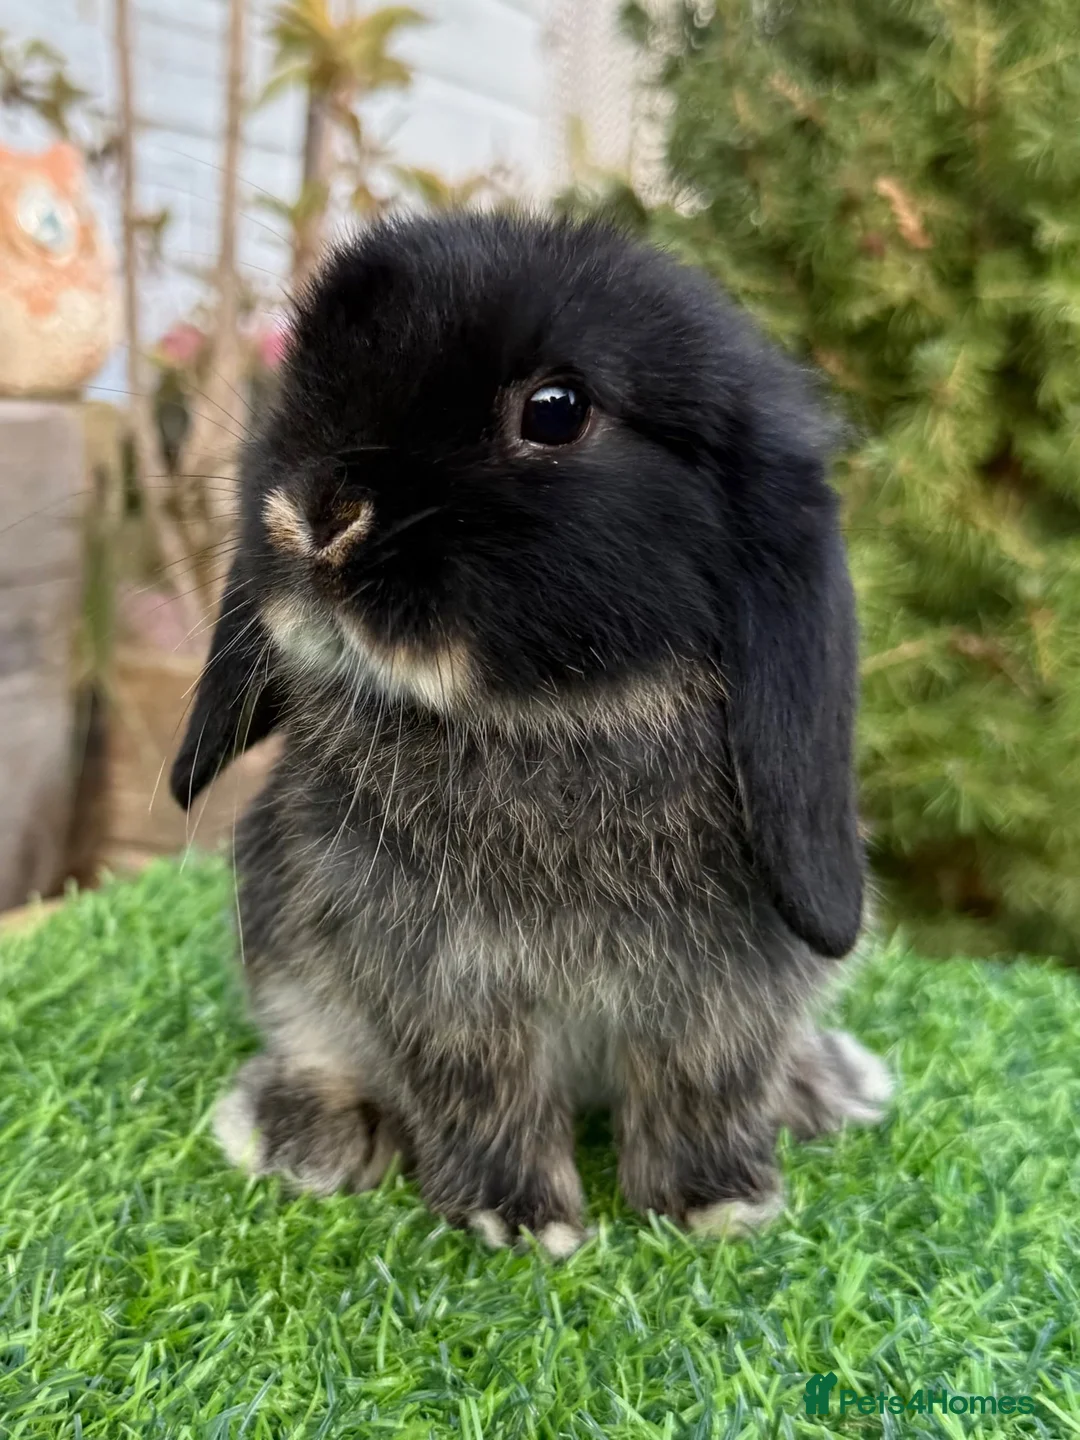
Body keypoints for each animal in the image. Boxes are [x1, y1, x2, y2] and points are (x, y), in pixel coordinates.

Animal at [172, 212, 892, 1257]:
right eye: (301, 386)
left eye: (555, 412)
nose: (314, 513)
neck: (552, 711)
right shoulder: (443, 986)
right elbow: (481, 1091)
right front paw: (515, 1218)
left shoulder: (730, 992)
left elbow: (704, 1086)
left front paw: (715, 1205)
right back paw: (301, 1132)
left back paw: (825, 1087)